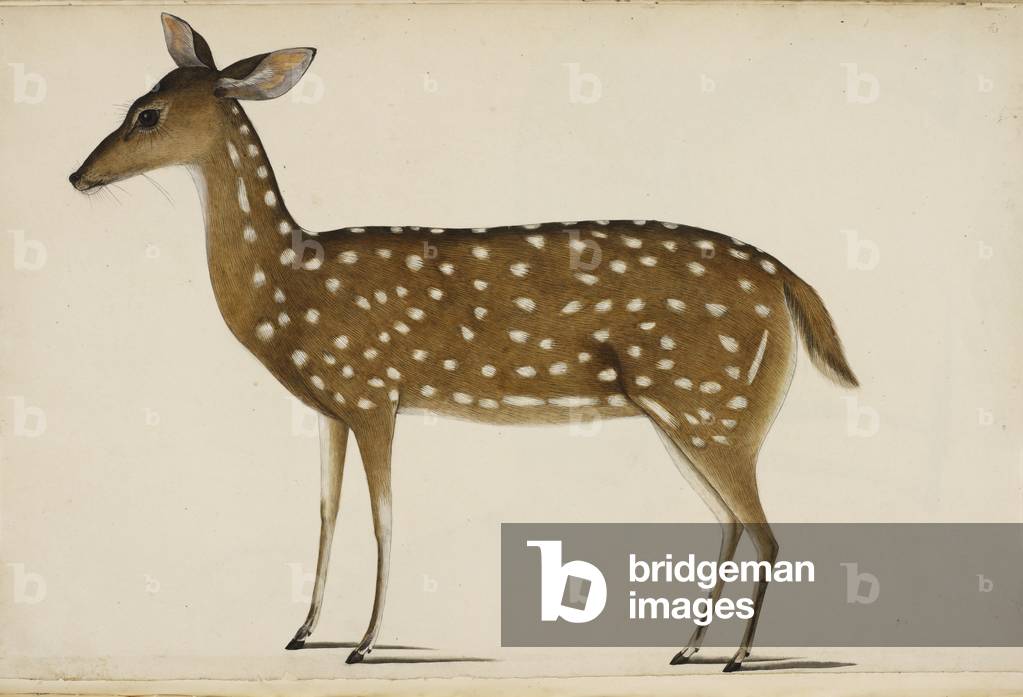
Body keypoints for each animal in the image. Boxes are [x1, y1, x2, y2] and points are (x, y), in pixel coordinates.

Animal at [68, 14, 858, 672]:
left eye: (147, 115)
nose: (77, 175)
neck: (291, 285)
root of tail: (786, 279)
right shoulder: (331, 406)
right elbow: (326, 512)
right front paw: (302, 630)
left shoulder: (373, 390)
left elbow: (384, 518)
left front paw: (363, 643)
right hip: (689, 412)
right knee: (730, 522)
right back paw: (688, 647)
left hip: (714, 402)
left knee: (767, 532)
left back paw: (736, 657)